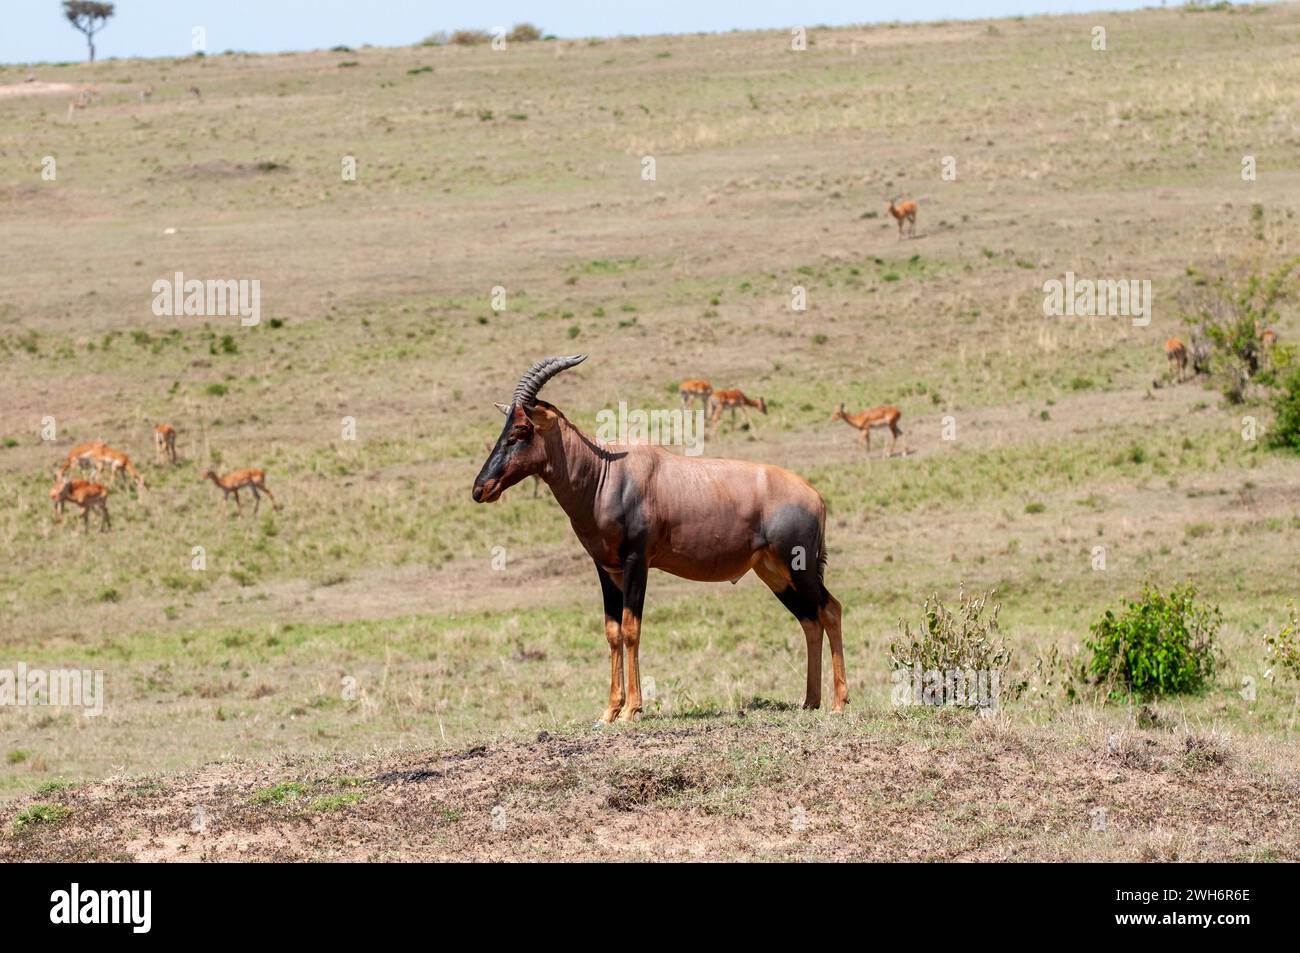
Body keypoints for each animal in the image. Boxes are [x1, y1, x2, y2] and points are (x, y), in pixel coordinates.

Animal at [473, 356, 847, 722]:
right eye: (504, 428)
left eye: (521, 430)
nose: (480, 489)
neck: (606, 473)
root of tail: (815, 497)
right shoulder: (606, 567)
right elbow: (612, 632)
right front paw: (609, 711)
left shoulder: (637, 561)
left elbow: (630, 628)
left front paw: (631, 710)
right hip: (774, 573)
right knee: (809, 620)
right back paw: (810, 701)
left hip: (798, 566)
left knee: (830, 610)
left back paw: (839, 702)